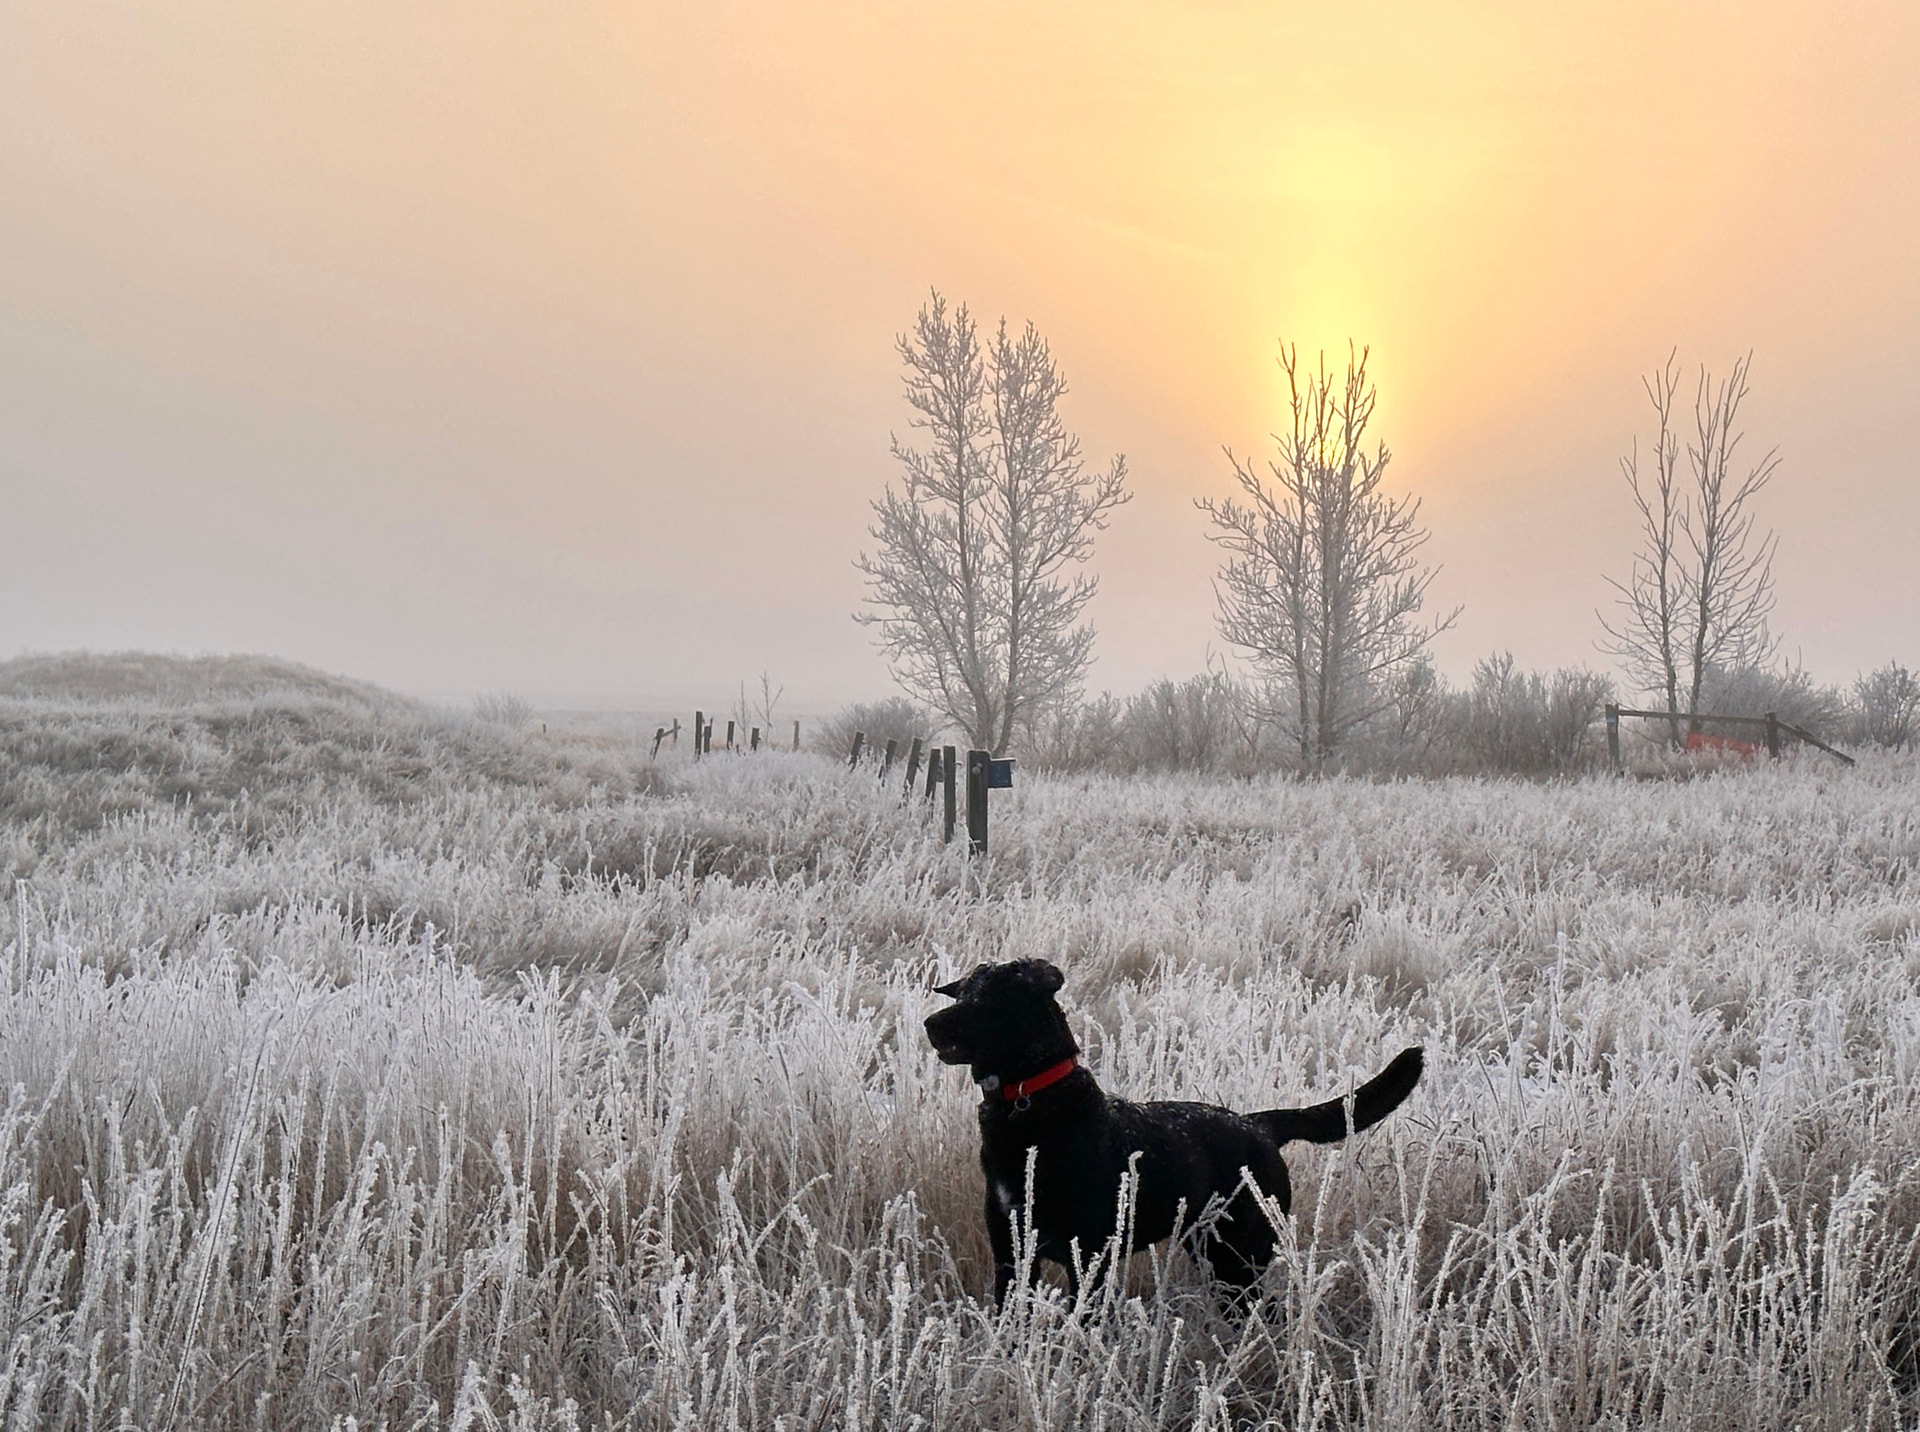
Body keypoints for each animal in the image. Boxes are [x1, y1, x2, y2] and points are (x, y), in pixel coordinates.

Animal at [924, 958, 1423, 1303]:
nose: (930, 1024)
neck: (1031, 1101)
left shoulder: (1090, 1259)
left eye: (989, 999)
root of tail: (1257, 1124)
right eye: (962, 994)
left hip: (1237, 1262)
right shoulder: (1011, 1256)